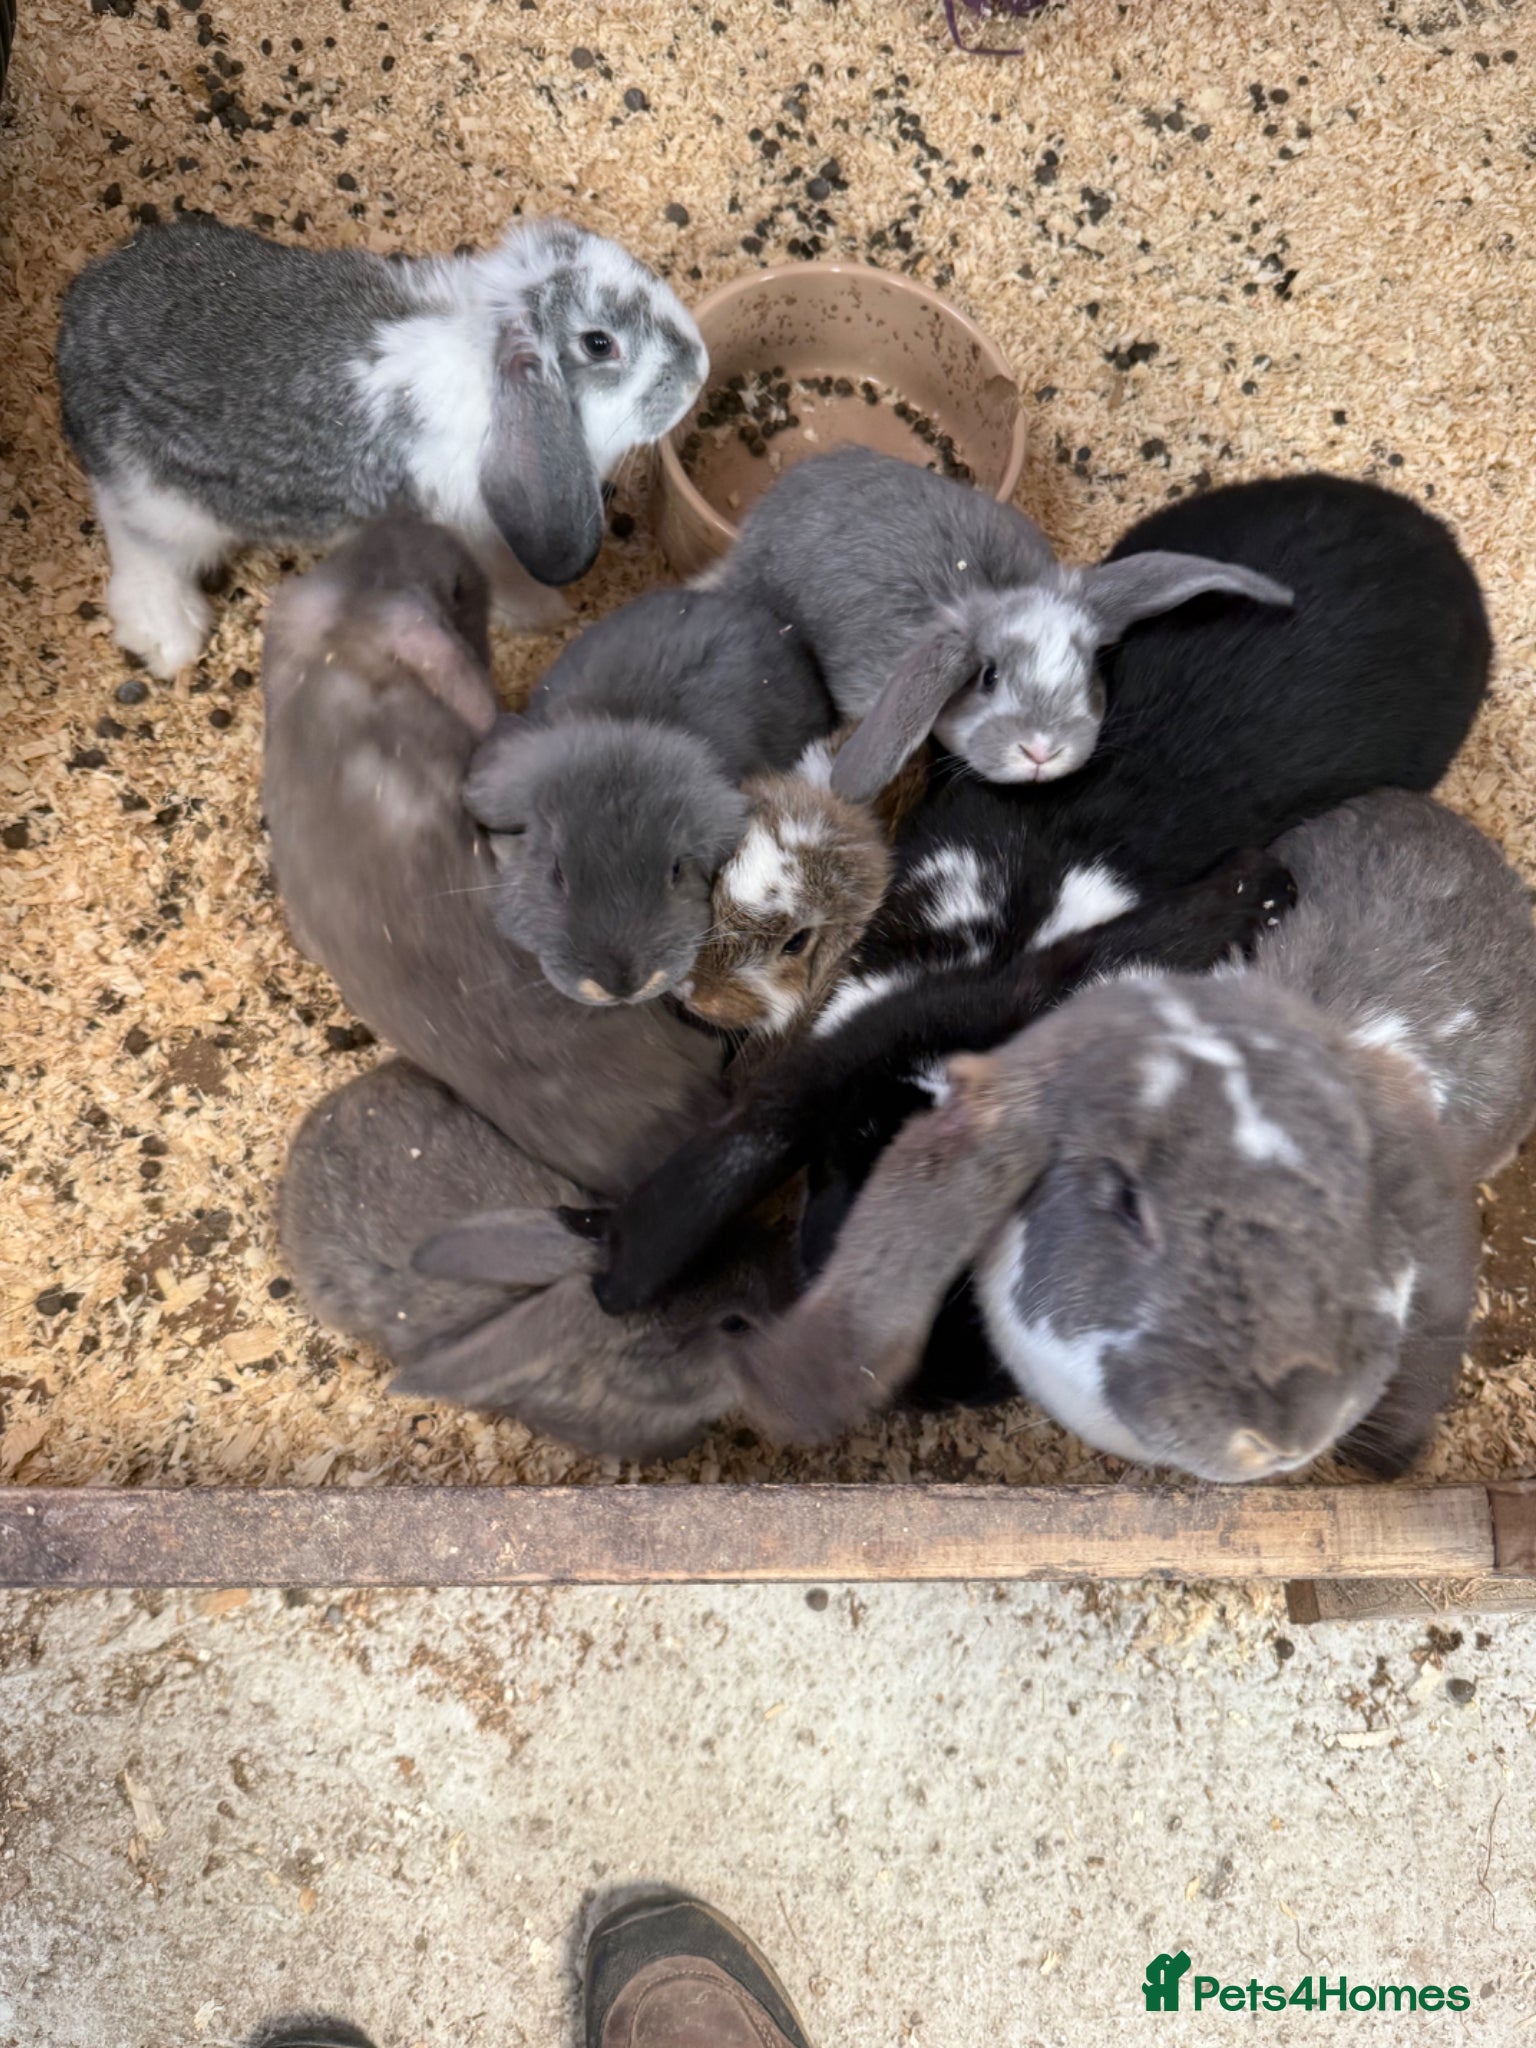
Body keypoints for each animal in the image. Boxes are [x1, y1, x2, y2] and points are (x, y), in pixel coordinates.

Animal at [57, 213, 707, 676]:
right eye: (599, 343)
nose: (698, 372)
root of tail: (73, 332)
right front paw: (545, 613)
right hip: (164, 507)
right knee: (142, 553)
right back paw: (169, 639)